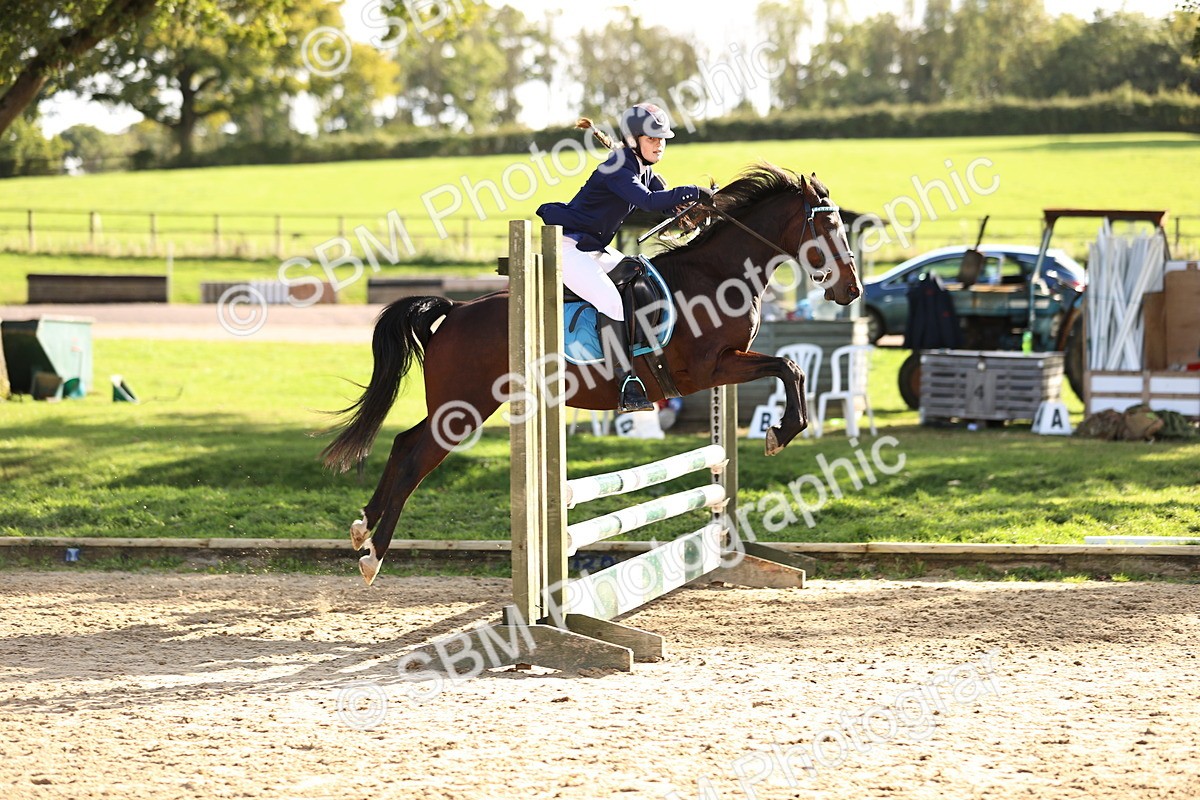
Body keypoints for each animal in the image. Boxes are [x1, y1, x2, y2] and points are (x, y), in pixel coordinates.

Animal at [322, 163, 862, 584]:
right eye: (828, 228)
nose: (852, 290)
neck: (717, 275)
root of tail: (454, 311)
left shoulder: (723, 368)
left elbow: (789, 369)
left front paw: (781, 431)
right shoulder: (712, 367)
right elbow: (789, 366)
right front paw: (781, 432)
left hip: (464, 404)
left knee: (403, 443)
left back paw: (362, 528)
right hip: (465, 407)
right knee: (415, 455)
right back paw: (373, 555)